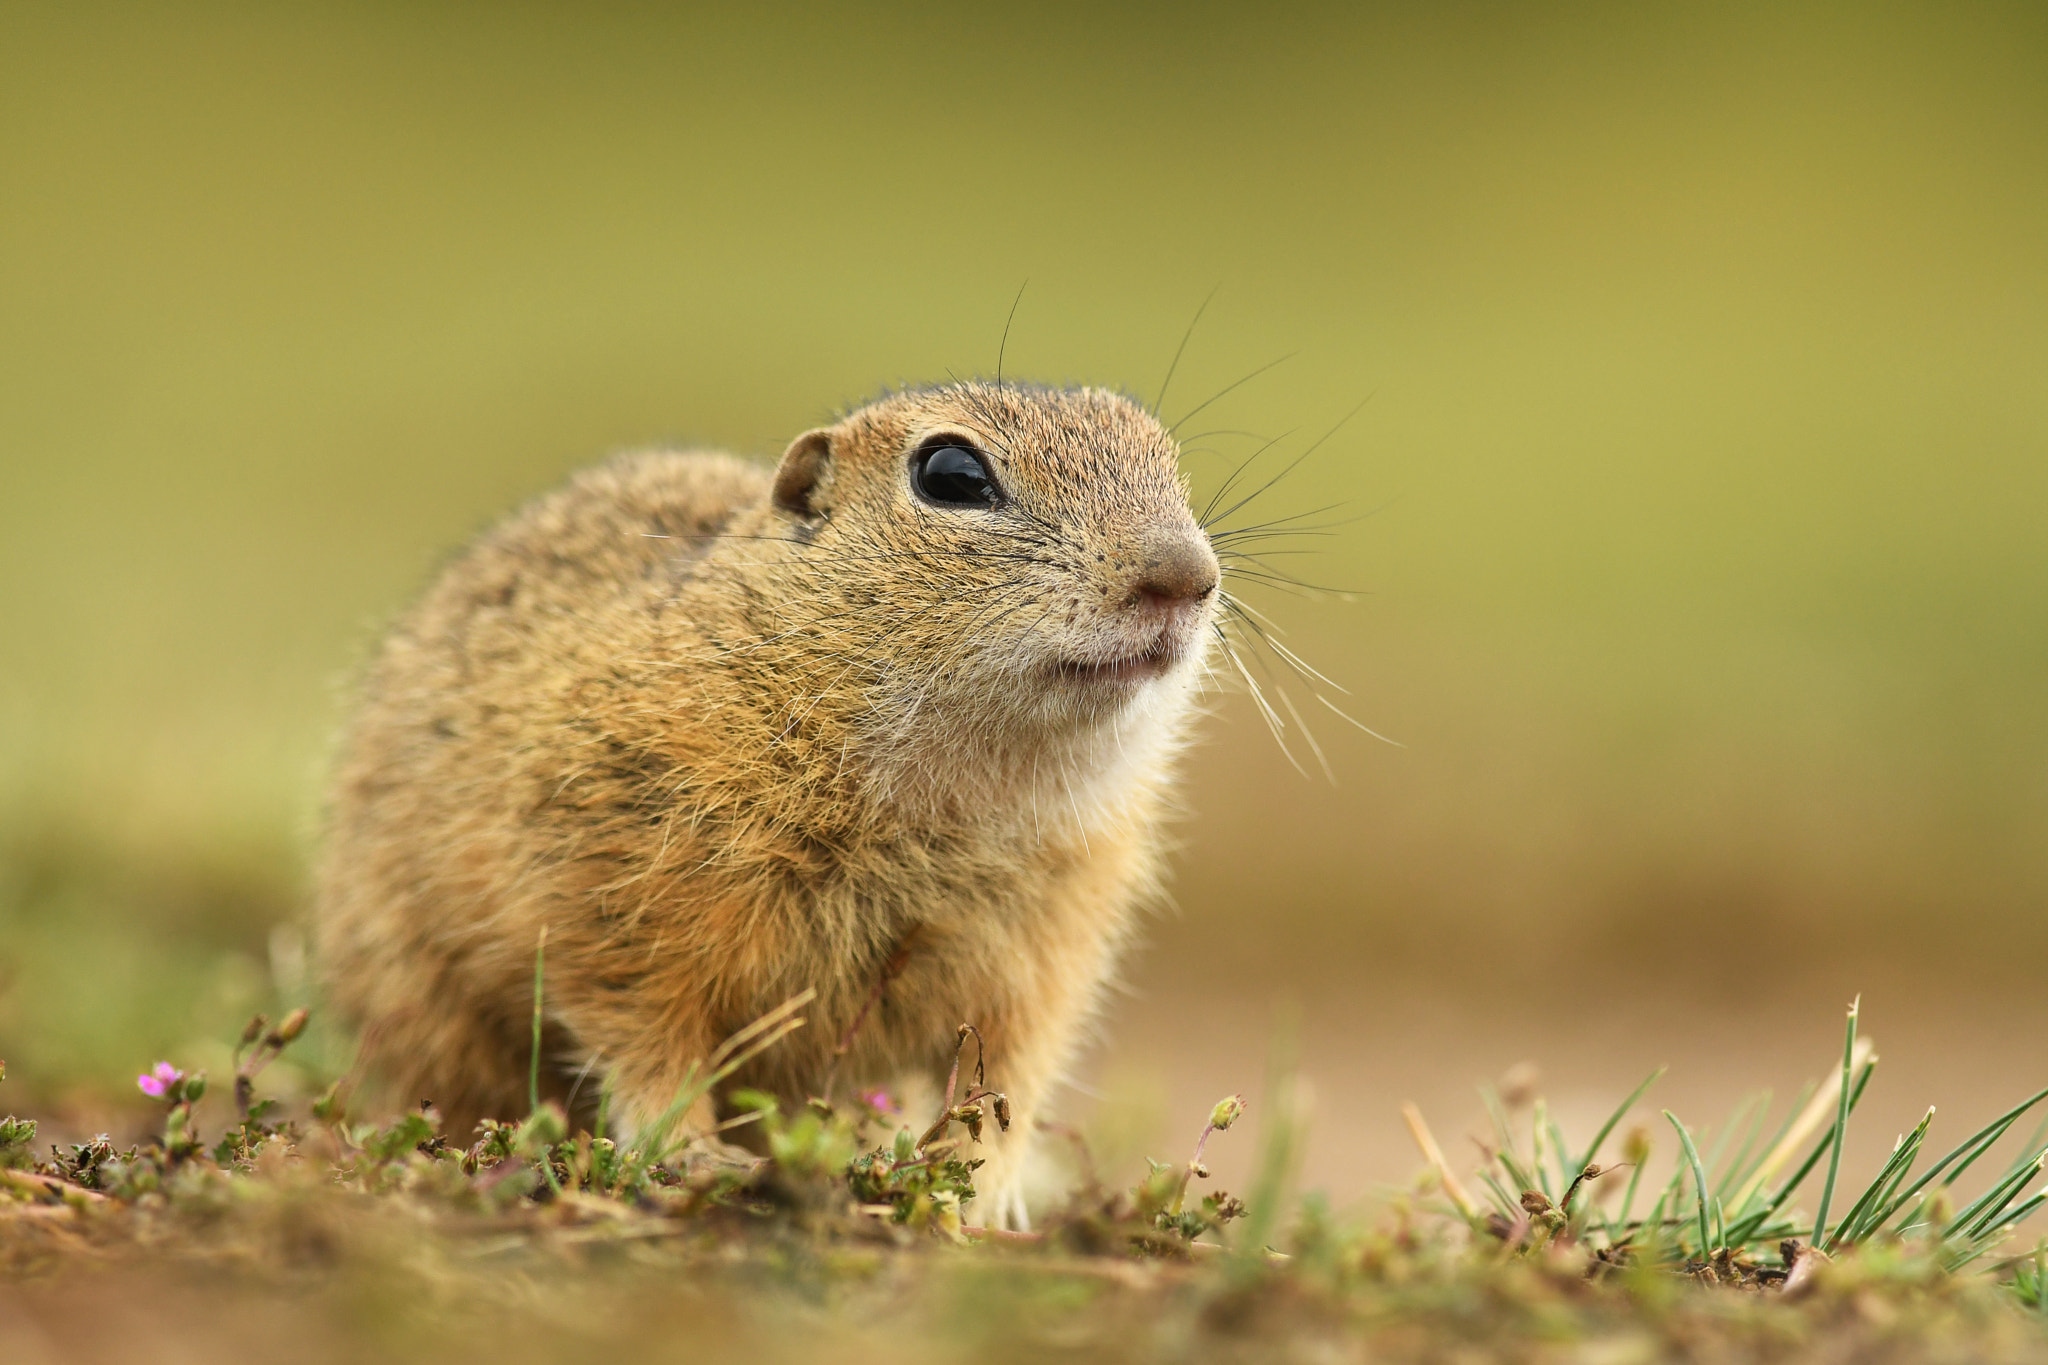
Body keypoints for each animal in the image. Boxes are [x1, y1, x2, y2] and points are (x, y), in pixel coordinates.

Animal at [314, 382, 1222, 1228]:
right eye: (951, 475)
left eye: (1167, 457)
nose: (1186, 577)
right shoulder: (607, 894)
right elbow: (646, 1041)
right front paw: (693, 1153)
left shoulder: (1045, 963)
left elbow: (1006, 1087)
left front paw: (987, 1203)